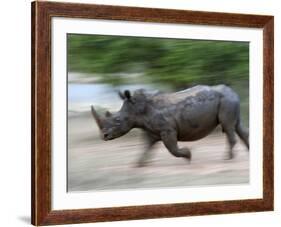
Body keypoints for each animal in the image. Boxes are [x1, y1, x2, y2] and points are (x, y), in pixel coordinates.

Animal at [90, 85, 247, 167]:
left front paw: (188, 155)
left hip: (227, 101)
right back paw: (247, 152)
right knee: (237, 127)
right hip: (229, 100)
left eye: (118, 120)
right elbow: (145, 147)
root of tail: (234, 92)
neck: (137, 109)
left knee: (228, 127)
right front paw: (138, 164)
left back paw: (227, 158)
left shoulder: (167, 130)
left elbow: (172, 149)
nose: (103, 136)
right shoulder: (150, 130)